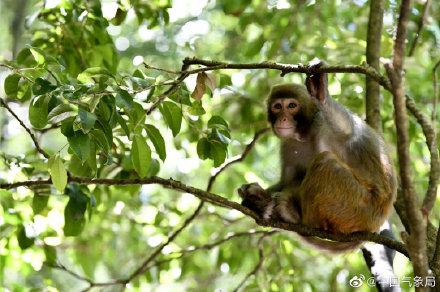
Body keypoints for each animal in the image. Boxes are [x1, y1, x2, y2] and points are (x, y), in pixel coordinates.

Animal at [239, 65, 398, 252]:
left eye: (291, 106)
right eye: (277, 106)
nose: (283, 118)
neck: (305, 132)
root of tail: (375, 225)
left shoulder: (324, 124)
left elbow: (348, 130)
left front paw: (321, 93)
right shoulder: (288, 144)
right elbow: (288, 181)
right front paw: (255, 194)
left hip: (360, 210)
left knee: (327, 162)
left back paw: (296, 216)